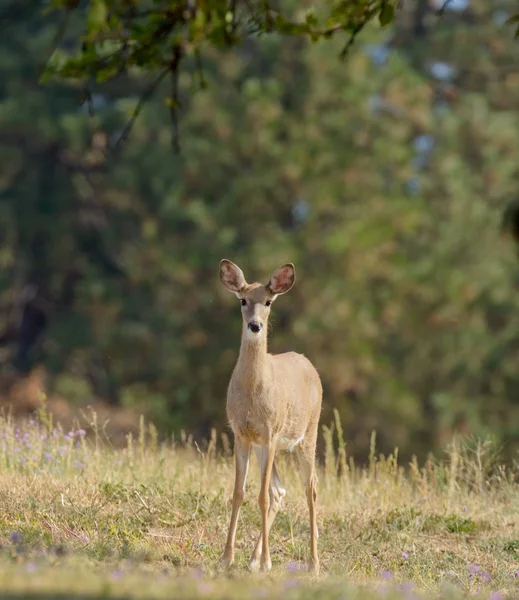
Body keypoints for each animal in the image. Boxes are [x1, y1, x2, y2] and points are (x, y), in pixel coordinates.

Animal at [218, 258, 322, 576]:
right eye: (242, 300)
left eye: (268, 302)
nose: (255, 325)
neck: (253, 391)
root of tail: (308, 363)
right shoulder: (242, 434)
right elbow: (239, 493)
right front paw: (226, 558)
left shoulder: (271, 432)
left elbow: (261, 496)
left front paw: (266, 562)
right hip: (266, 447)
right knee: (280, 490)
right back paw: (253, 560)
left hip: (307, 434)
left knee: (310, 489)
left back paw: (313, 564)